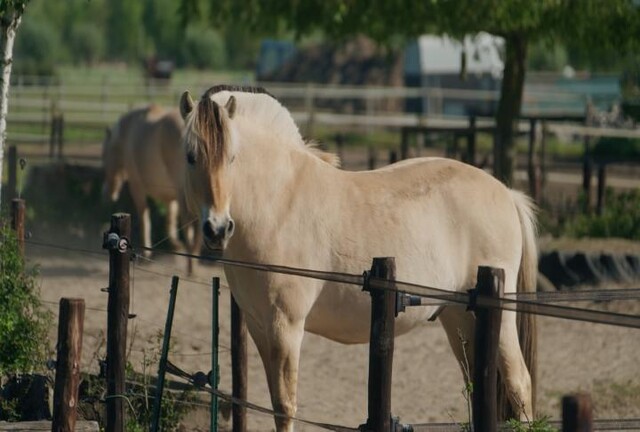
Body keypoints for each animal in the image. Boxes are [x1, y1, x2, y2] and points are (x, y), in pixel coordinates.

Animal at [102, 105, 199, 259]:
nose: (106, 193)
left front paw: (146, 252)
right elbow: (170, 220)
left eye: (104, 155)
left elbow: (144, 218)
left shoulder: (137, 187)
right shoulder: (170, 196)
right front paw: (176, 245)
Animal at [179, 85, 538, 432]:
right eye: (190, 157)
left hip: (500, 318)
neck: (278, 202)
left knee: (519, 384)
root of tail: (506, 193)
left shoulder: (286, 326)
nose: (217, 228)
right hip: (459, 317)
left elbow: (284, 406)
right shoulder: (258, 326)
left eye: (233, 158)